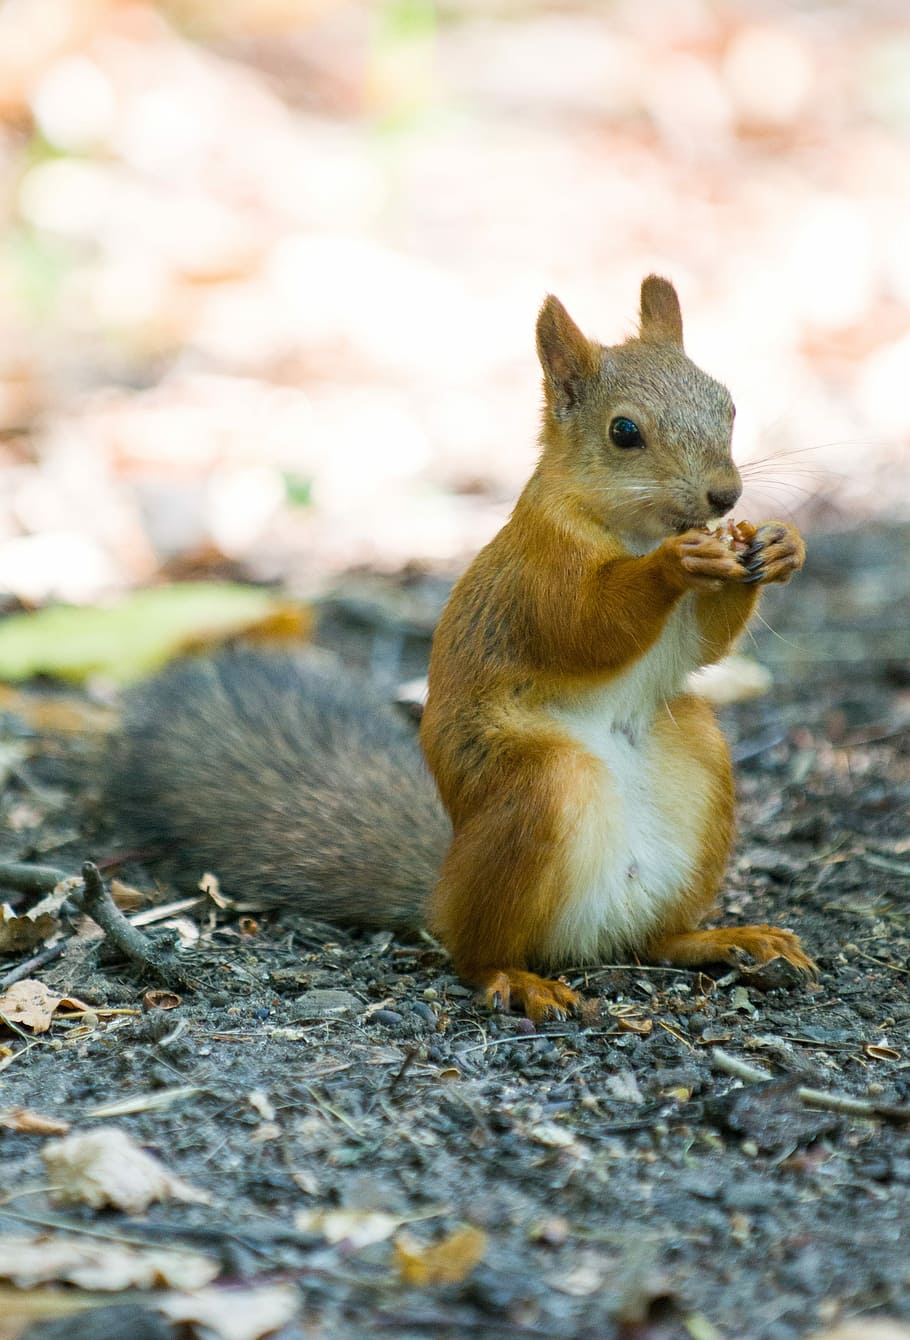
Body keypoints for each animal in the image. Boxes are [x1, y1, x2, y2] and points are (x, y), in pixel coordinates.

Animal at [109, 276, 814, 1022]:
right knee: (475, 951)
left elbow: (704, 642)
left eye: (728, 403)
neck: (633, 529)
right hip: (534, 790)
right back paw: (516, 977)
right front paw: (675, 564)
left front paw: (781, 544)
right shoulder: (541, 572)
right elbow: (589, 626)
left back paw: (726, 939)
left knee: (656, 939)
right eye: (624, 432)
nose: (725, 495)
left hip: (698, 758)